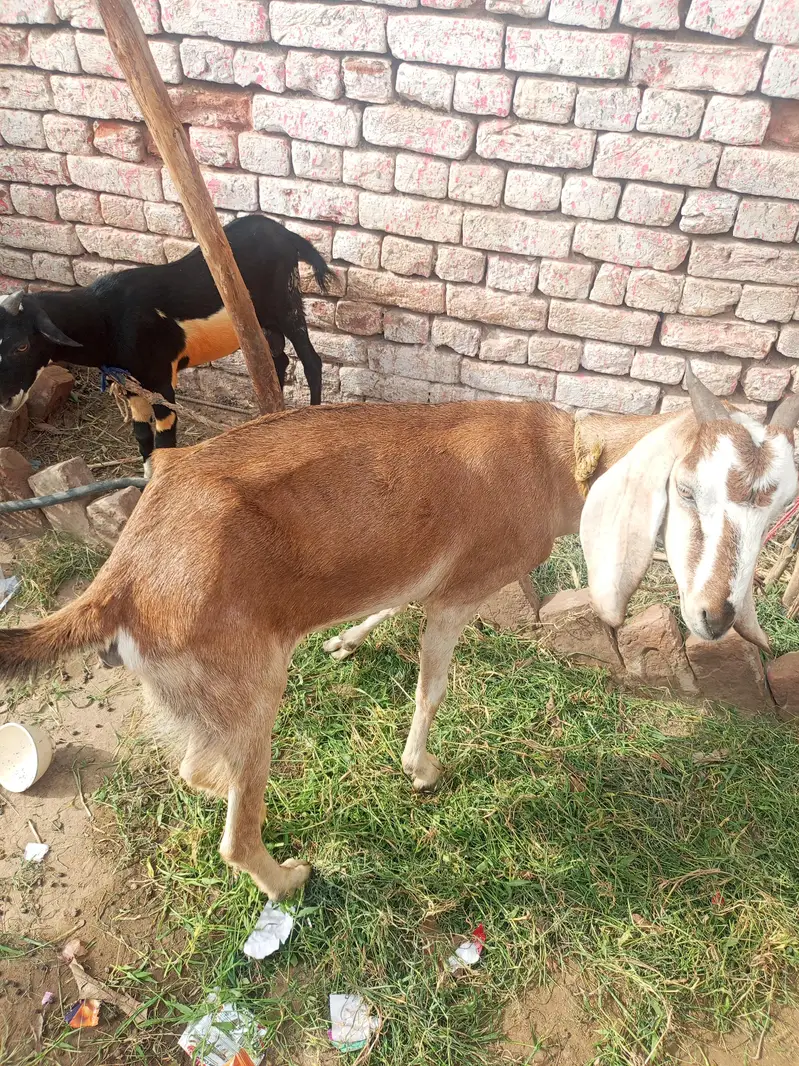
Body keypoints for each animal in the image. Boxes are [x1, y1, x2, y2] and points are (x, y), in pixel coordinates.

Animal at [0, 215, 331, 471]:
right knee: (278, 360)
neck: (107, 317)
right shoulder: (132, 384)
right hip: (260, 322)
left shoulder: (161, 380)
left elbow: (165, 440)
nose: (5, 400)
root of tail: (286, 234)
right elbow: (142, 436)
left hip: (285, 299)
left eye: (22, 346)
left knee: (310, 360)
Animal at [0, 368, 797, 900]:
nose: (716, 617)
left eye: (775, 505)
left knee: (198, 769)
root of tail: (125, 580)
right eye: (686, 489)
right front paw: (422, 771)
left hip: (204, 696)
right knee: (235, 833)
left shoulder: (427, 578)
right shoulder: (463, 592)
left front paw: (344, 643)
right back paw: (289, 879)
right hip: (251, 687)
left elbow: (395, 604)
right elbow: (432, 686)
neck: (553, 463)